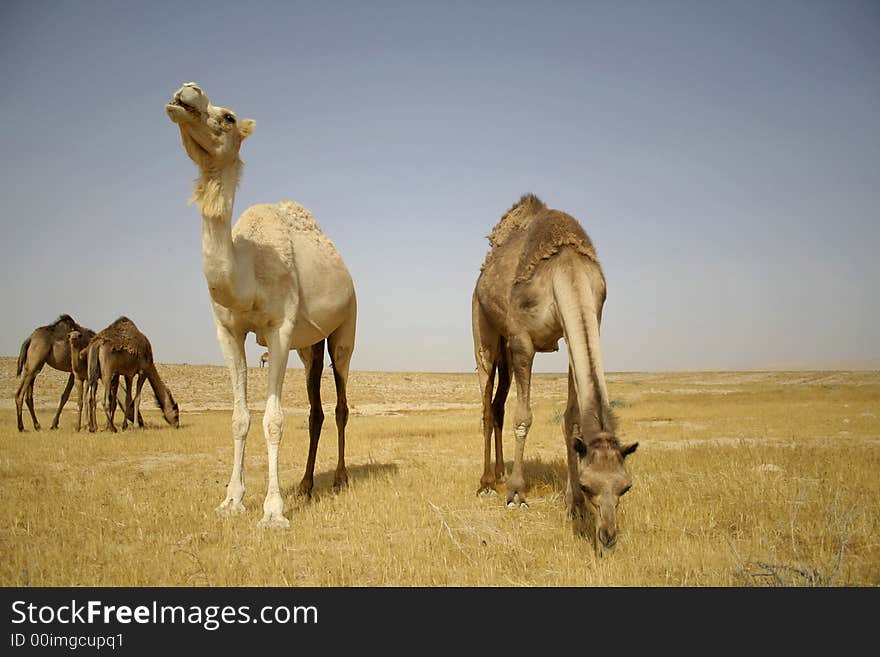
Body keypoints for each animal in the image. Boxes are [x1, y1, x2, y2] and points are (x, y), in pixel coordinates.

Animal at [165, 82, 358, 528]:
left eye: (229, 116)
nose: (187, 92)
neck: (247, 268)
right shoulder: (228, 331)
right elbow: (240, 417)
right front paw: (231, 500)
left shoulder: (279, 331)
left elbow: (274, 419)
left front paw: (273, 511)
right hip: (309, 345)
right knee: (316, 409)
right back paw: (306, 484)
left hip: (346, 329)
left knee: (340, 400)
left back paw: (339, 478)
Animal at [470, 192, 636, 552]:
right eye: (589, 486)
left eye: (625, 486)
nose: (608, 537)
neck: (567, 267)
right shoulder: (522, 340)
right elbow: (523, 417)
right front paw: (516, 494)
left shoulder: (576, 329)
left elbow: (572, 419)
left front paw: (573, 506)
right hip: (484, 328)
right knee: (487, 402)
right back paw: (488, 482)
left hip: (504, 350)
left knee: (498, 403)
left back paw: (500, 472)